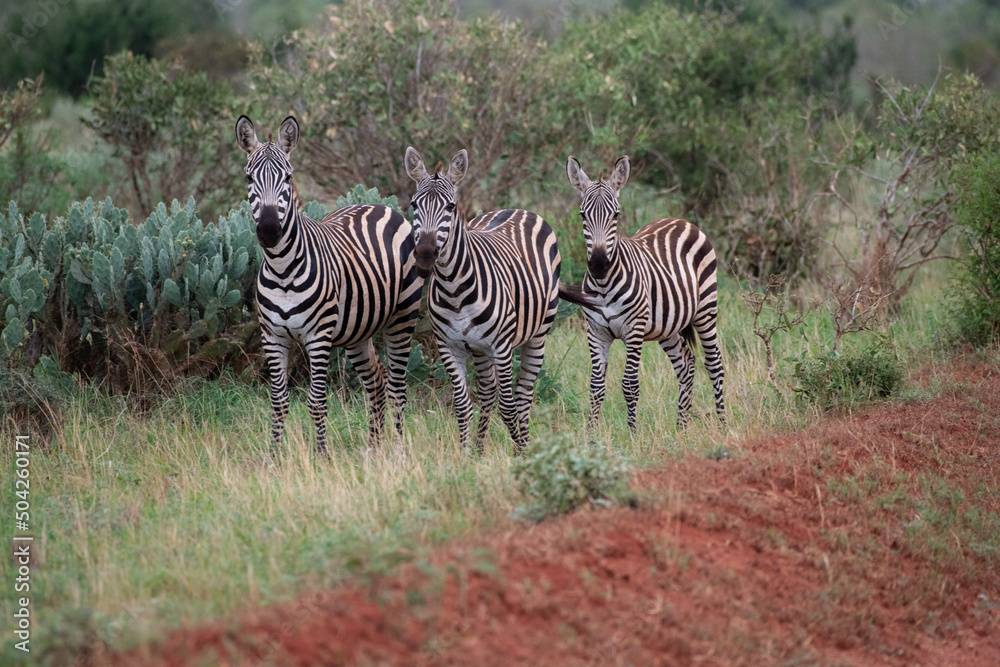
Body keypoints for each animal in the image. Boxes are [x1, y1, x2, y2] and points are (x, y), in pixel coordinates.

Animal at [235, 115, 422, 452]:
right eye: (249, 178)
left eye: (288, 177)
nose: (269, 230)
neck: (282, 269)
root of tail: (379, 206)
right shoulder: (272, 336)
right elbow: (278, 401)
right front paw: (273, 456)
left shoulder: (318, 336)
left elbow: (316, 402)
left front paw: (321, 454)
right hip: (358, 332)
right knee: (376, 381)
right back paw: (373, 449)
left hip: (402, 317)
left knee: (397, 388)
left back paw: (399, 450)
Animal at [404, 146, 561, 453]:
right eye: (414, 205)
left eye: (451, 207)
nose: (425, 255)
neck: (454, 292)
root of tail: (517, 209)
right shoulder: (450, 347)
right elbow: (462, 405)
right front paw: (466, 453)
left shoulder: (501, 347)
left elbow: (509, 408)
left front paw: (521, 454)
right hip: (479, 349)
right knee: (488, 392)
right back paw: (479, 447)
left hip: (537, 336)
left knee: (523, 397)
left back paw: (524, 444)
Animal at [558, 155, 725, 433]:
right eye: (582, 215)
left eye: (616, 215)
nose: (599, 264)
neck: (603, 286)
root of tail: (682, 221)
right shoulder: (596, 332)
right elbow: (596, 387)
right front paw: (590, 434)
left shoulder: (633, 330)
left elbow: (630, 385)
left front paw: (633, 434)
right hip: (667, 326)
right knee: (686, 363)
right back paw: (681, 427)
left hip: (706, 311)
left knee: (714, 365)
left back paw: (722, 423)